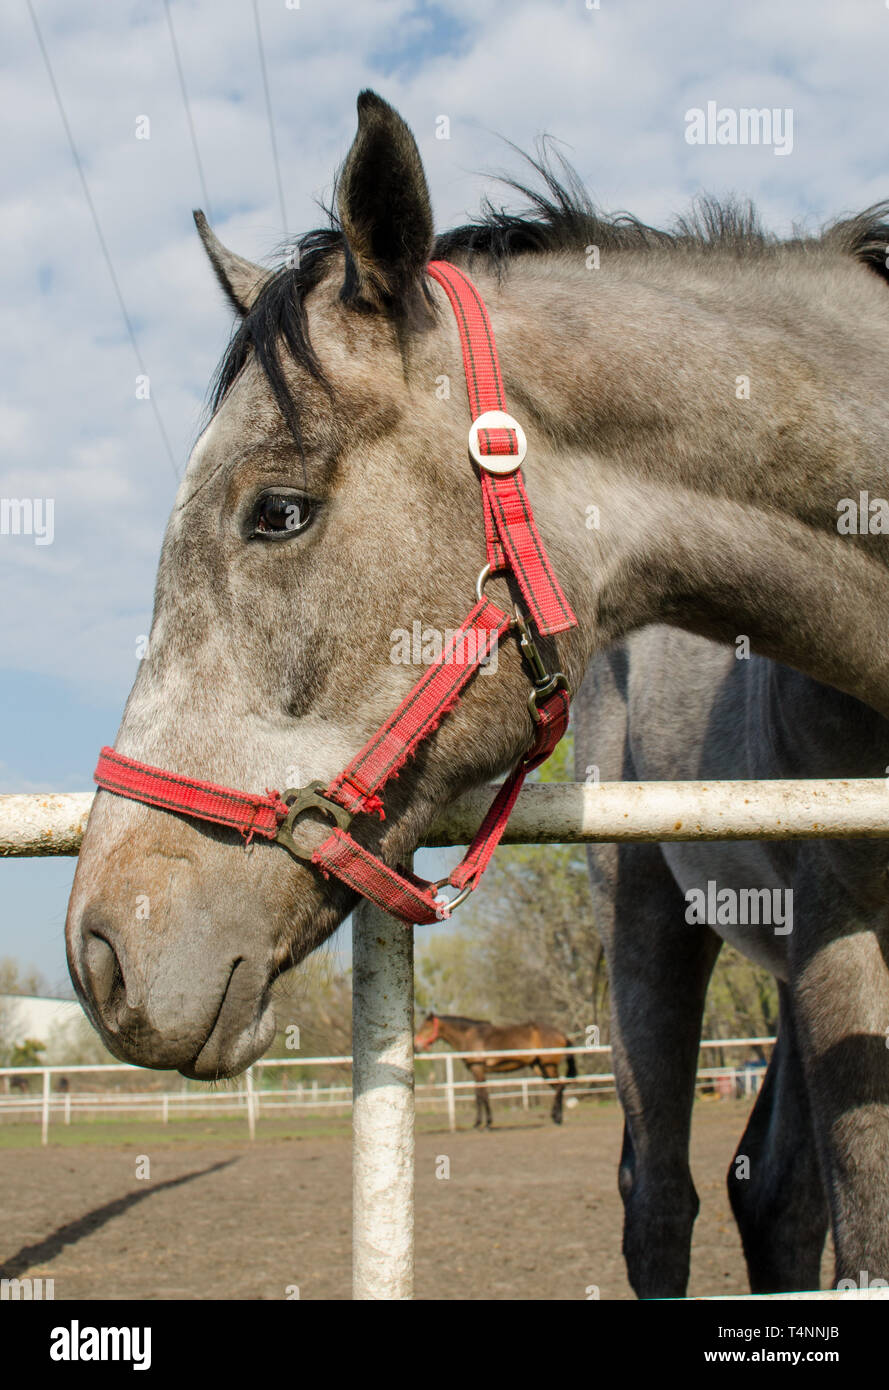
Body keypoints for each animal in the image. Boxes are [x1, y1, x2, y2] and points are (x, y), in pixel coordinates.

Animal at [414, 1011, 576, 1127]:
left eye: (426, 1027)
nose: (415, 1046)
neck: (469, 1036)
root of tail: (562, 1034)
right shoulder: (477, 1072)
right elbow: (480, 1095)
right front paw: (482, 1122)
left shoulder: (478, 1069)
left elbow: (482, 1095)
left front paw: (484, 1123)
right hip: (539, 1067)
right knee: (558, 1088)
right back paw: (556, 1118)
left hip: (549, 1066)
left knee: (559, 1087)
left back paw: (557, 1118)